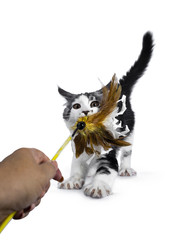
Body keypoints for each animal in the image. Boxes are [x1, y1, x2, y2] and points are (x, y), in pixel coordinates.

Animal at [57, 32, 153, 197]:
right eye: (76, 106)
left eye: (94, 104)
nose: (86, 111)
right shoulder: (77, 150)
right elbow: (76, 166)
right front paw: (73, 180)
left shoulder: (108, 155)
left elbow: (105, 171)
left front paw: (97, 186)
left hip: (129, 130)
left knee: (127, 151)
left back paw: (126, 169)